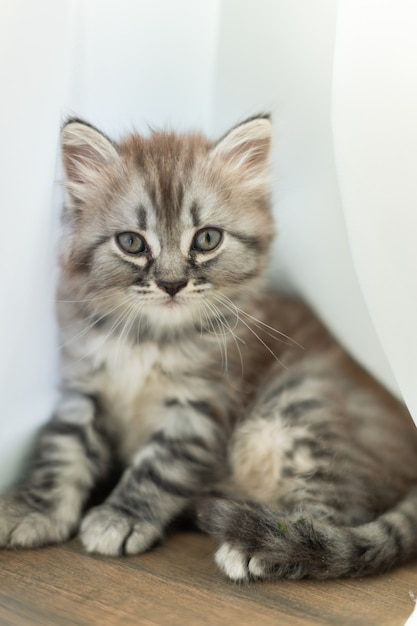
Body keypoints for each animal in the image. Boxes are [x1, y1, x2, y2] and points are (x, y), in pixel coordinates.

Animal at [0, 116, 416, 580]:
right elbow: (62, 449)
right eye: (131, 243)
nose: (172, 283)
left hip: (303, 405)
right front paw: (34, 509)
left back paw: (263, 547)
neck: (149, 337)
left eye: (207, 239)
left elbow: (158, 467)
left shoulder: (202, 406)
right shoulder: (84, 388)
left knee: (339, 513)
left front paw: (121, 517)